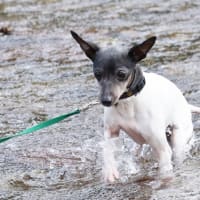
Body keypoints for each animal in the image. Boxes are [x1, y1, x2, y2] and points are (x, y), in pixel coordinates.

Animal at [70, 31, 200, 183]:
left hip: (178, 139)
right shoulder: (111, 132)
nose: (106, 101)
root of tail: (186, 105)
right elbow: (107, 150)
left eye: (121, 74)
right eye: (97, 74)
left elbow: (165, 170)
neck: (128, 102)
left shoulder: (162, 150)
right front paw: (110, 171)